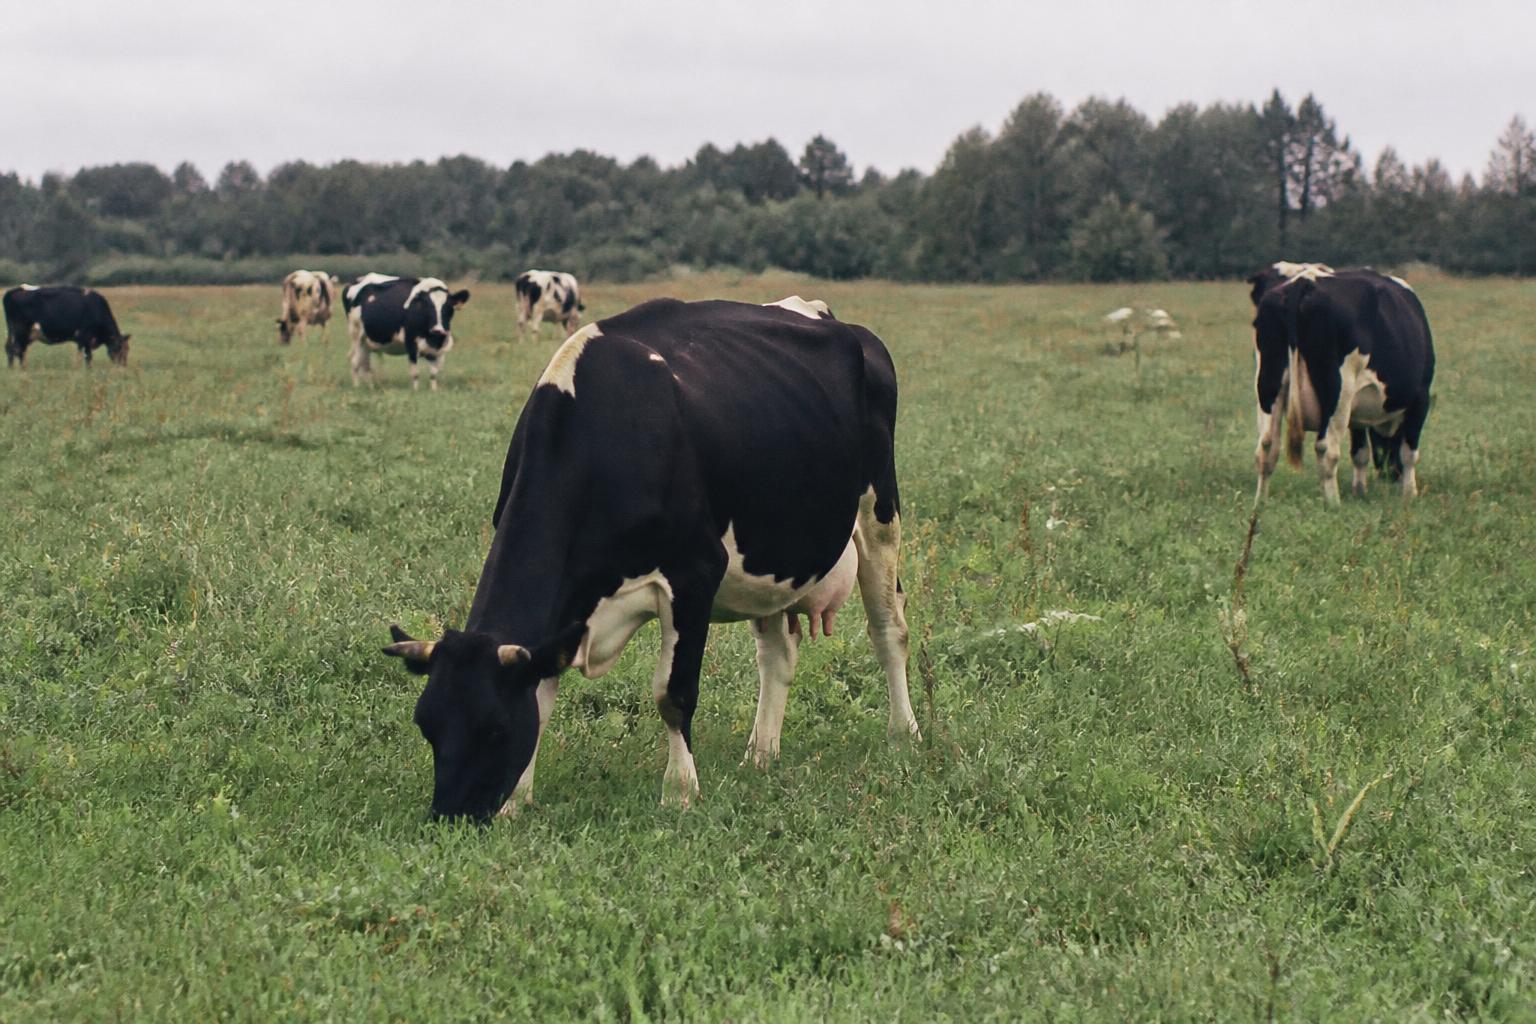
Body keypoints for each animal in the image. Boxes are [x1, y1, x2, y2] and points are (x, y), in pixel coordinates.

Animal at [341, 273, 470, 390]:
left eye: (448, 308)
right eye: (427, 307)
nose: (437, 329)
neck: (433, 339)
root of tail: (357, 280)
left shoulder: (438, 348)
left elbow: (433, 374)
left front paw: (433, 391)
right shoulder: (411, 343)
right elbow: (415, 373)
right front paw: (415, 391)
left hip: (366, 341)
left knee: (365, 364)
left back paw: (370, 387)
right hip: (356, 335)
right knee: (355, 362)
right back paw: (356, 387)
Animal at [381, 295, 918, 822]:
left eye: (494, 729)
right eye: (427, 725)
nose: (449, 817)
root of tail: (825, 314)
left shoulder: (695, 572)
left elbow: (673, 694)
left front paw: (680, 792)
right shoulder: (565, 611)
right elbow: (541, 690)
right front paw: (518, 800)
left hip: (879, 513)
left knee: (888, 629)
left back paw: (904, 735)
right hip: (769, 563)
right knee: (777, 656)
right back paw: (760, 755)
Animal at [1247, 263, 1435, 503]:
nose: (1390, 476)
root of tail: (1305, 282)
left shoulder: (1358, 415)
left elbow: (1360, 452)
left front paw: (1360, 490)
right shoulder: (1421, 397)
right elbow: (1409, 453)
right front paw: (1410, 494)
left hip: (1268, 385)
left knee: (1267, 447)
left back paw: (1260, 503)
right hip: (1337, 391)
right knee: (1326, 449)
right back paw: (1333, 503)